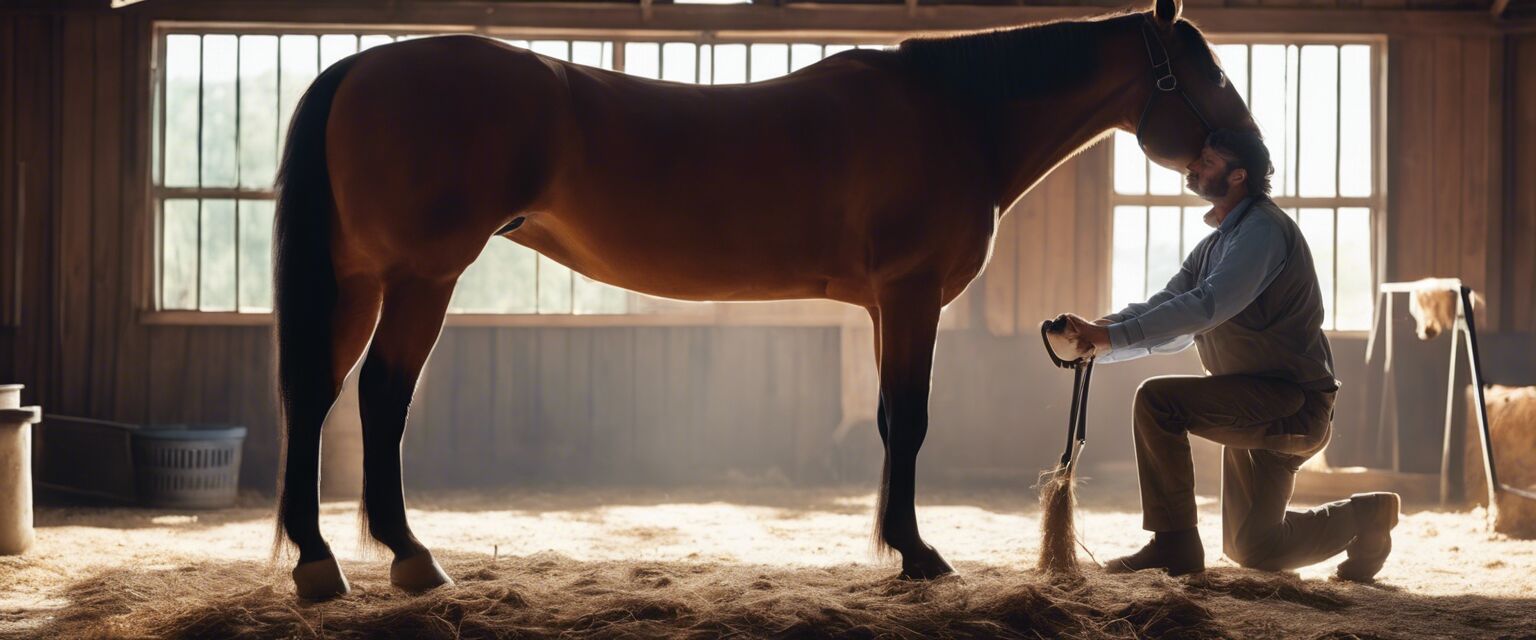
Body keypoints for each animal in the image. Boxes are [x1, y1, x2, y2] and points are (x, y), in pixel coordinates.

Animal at [273, 0, 1259, 595]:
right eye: (1208, 74)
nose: (1254, 163)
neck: (954, 114)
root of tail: (361, 69)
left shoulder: (888, 305)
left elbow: (892, 421)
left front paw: (900, 547)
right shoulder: (910, 297)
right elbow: (909, 422)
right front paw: (917, 554)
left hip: (364, 280)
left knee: (316, 396)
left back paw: (327, 562)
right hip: (418, 277)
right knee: (376, 397)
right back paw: (397, 560)